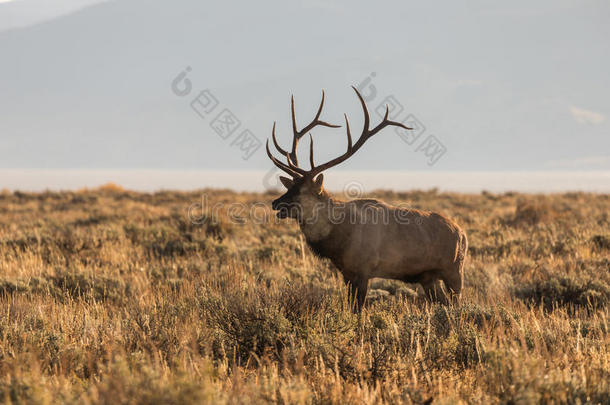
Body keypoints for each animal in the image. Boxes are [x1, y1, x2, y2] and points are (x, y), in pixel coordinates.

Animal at [264, 87, 466, 310]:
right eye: (290, 186)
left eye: (302, 190)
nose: (275, 203)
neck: (338, 238)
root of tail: (462, 234)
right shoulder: (346, 273)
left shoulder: (363, 271)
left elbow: (357, 310)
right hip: (428, 277)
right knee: (443, 302)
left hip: (454, 271)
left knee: (457, 303)